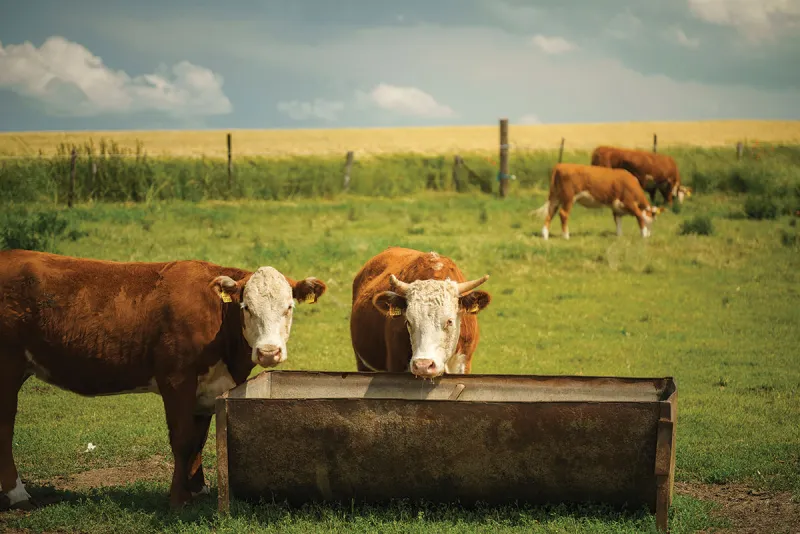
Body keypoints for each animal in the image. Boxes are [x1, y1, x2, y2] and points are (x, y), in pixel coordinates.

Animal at [0, 250, 327, 510]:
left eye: (289, 307)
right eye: (246, 307)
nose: (269, 352)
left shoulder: (208, 389)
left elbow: (198, 438)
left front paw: (198, 489)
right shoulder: (176, 379)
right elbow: (182, 439)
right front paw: (178, 498)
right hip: (8, 368)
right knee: (6, 425)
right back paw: (17, 494)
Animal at [531, 163, 665, 239]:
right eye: (651, 220)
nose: (650, 235)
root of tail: (560, 165)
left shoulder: (616, 207)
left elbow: (618, 222)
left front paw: (620, 236)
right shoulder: (630, 203)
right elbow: (639, 217)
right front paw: (643, 235)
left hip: (555, 197)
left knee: (550, 213)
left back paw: (545, 235)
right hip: (568, 198)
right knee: (563, 214)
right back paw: (566, 236)